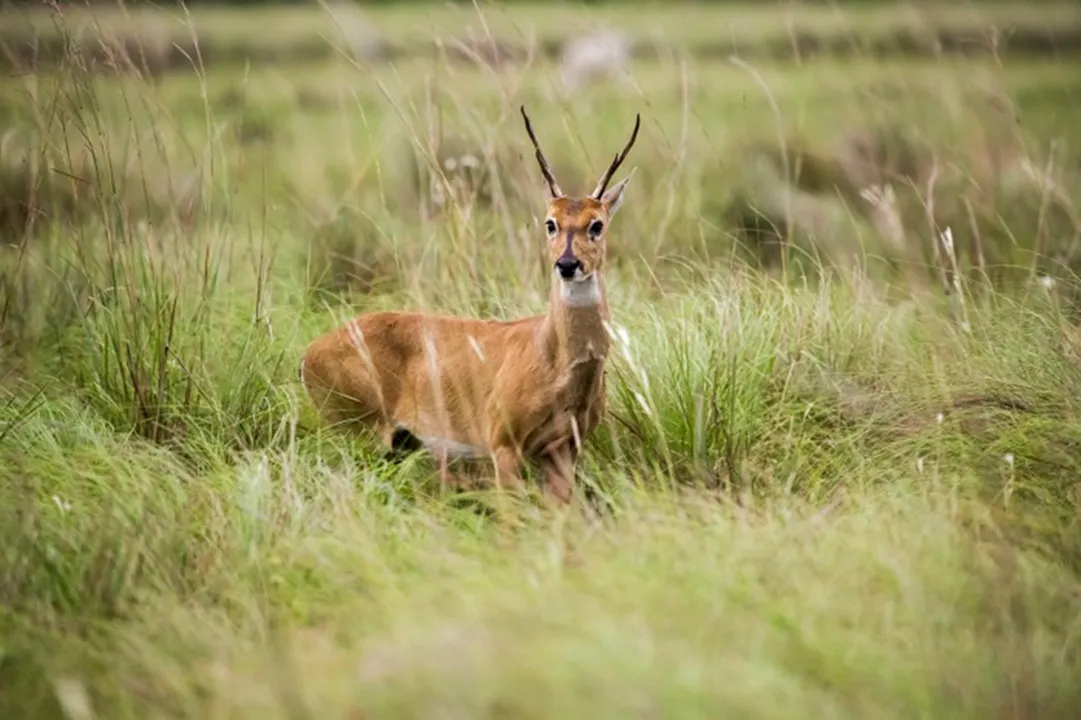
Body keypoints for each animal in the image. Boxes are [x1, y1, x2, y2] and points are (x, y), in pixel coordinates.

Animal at [302, 106, 639, 501]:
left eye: (596, 224)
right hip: (360, 432)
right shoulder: (502, 444)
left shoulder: (562, 448)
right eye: (551, 223)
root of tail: (308, 354)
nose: (568, 264)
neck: (551, 358)